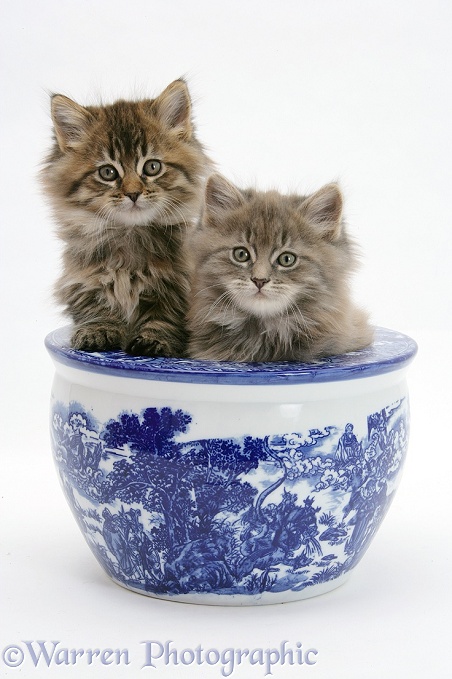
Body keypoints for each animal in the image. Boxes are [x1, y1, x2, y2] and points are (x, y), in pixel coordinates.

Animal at [41, 79, 211, 356]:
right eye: (108, 172)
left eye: (152, 167)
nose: (133, 193)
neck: (129, 236)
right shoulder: (84, 281)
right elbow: (97, 310)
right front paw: (98, 331)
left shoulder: (178, 285)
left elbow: (165, 317)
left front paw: (153, 339)